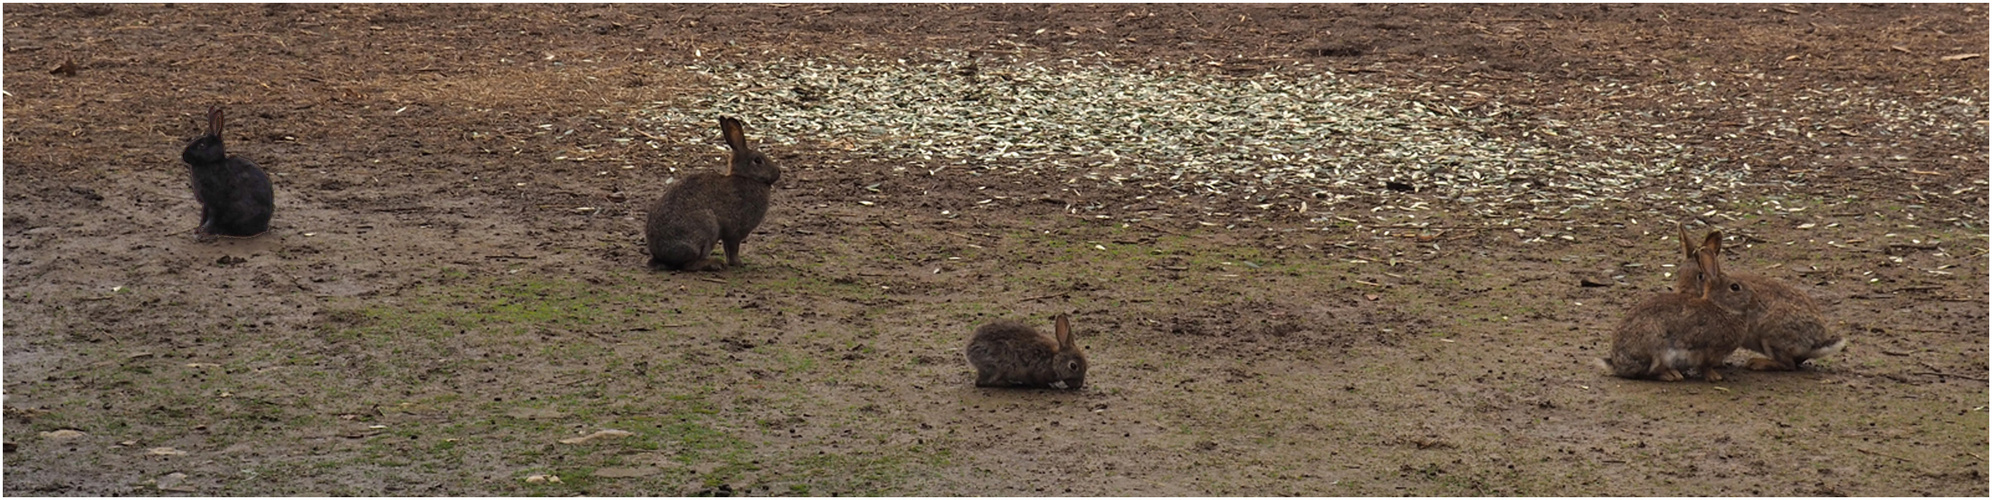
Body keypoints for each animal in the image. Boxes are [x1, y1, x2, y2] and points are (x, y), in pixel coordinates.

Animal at [649, 115, 780, 270]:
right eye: (758, 160)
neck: (746, 177)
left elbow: (727, 249)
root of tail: (661, 255)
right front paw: (739, 263)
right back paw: (714, 264)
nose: (778, 172)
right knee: (688, 265)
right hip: (707, 229)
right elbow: (733, 249)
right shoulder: (734, 232)